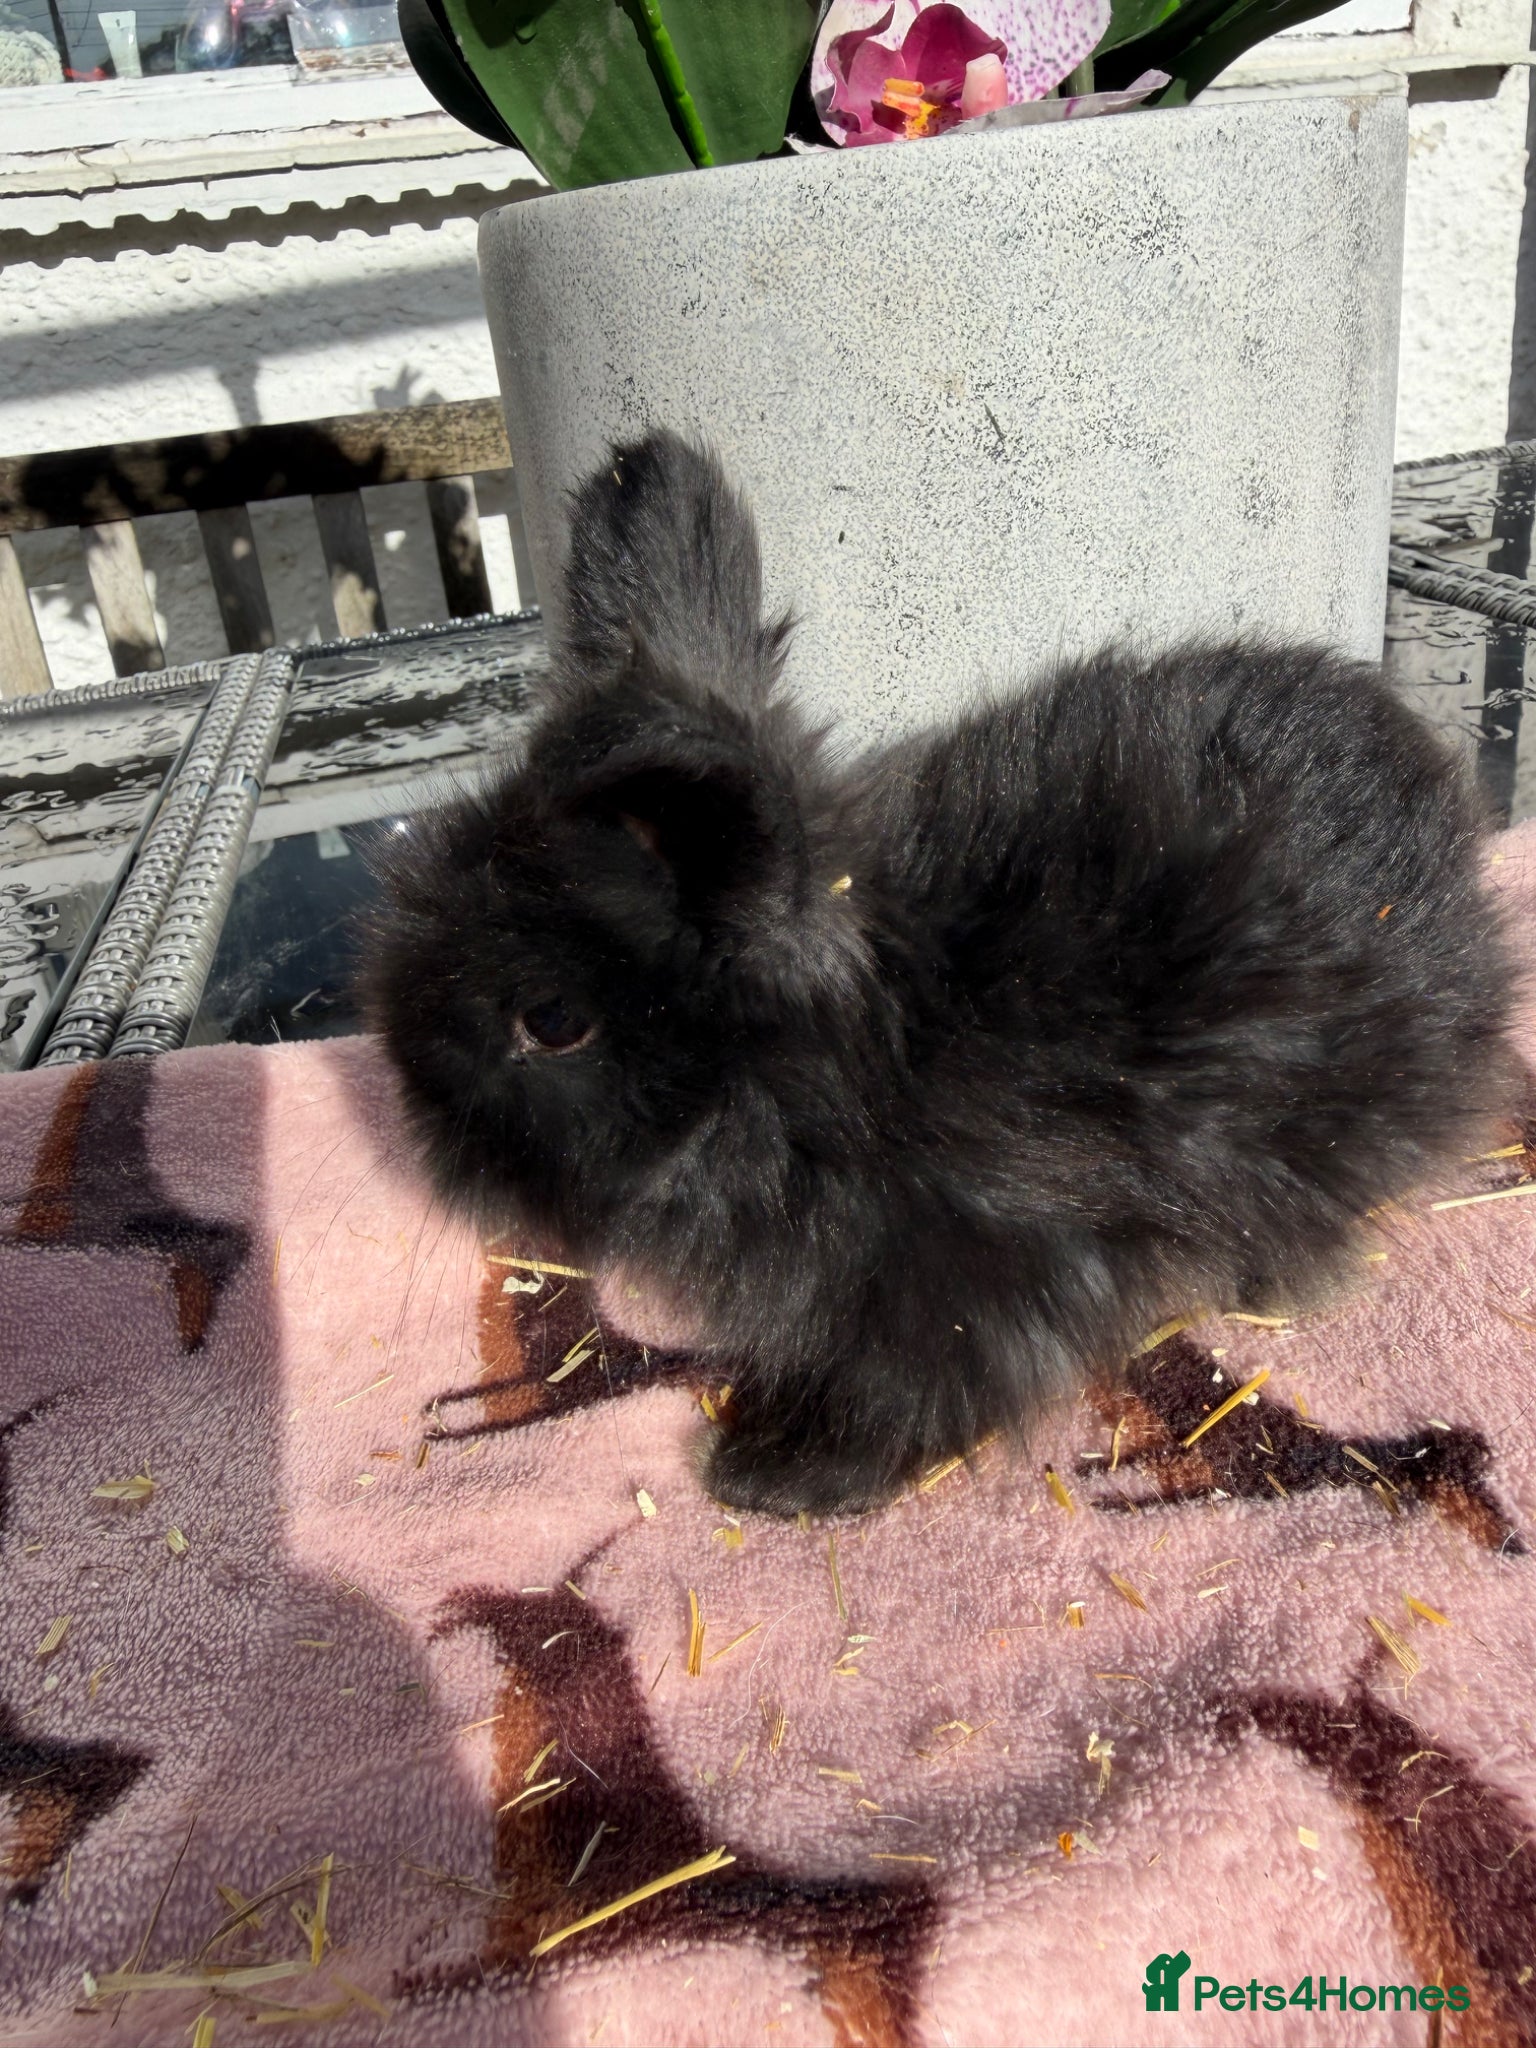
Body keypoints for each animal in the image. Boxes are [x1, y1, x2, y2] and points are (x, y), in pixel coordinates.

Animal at [362, 429, 1516, 1518]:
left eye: (552, 1020)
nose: (414, 1111)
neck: (832, 1074)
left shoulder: (969, 1271)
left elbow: (914, 1384)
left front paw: (775, 1475)